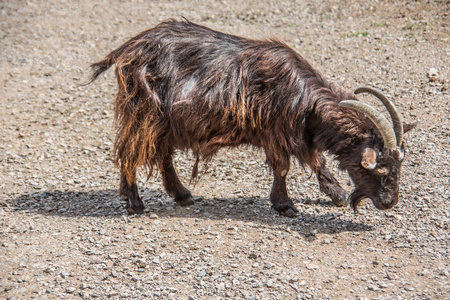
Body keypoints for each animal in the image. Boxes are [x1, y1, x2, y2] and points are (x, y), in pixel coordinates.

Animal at [90, 19, 414, 216]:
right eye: (381, 169)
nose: (389, 202)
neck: (303, 95)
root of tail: (129, 48)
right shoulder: (276, 133)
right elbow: (283, 168)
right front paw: (285, 205)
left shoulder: (298, 133)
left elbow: (317, 160)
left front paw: (336, 194)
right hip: (144, 113)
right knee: (130, 151)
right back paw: (134, 201)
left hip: (164, 123)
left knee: (162, 155)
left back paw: (181, 194)